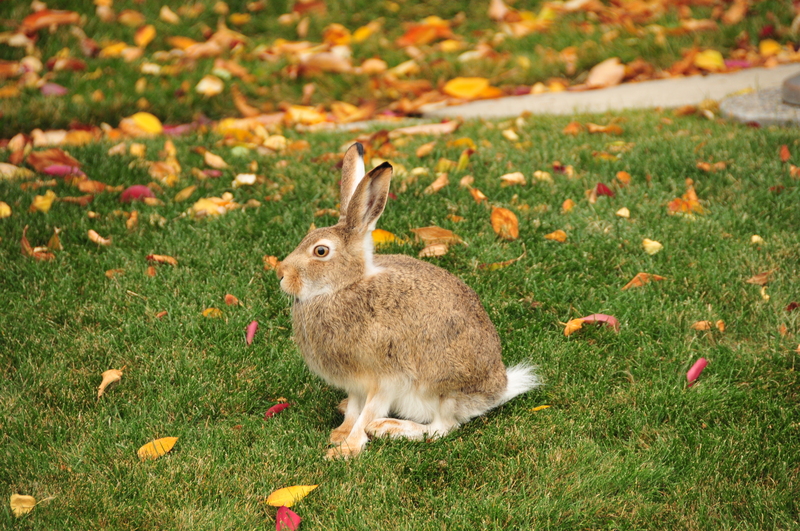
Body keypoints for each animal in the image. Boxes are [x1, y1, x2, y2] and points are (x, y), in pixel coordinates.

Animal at [276, 143, 544, 460]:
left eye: (320, 251)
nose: (281, 274)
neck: (342, 286)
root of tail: (496, 392)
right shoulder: (356, 383)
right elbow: (354, 407)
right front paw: (340, 434)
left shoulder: (386, 378)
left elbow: (368, 412)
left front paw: (346, 449)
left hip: (441, 389)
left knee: (442, 428)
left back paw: (388, 428)